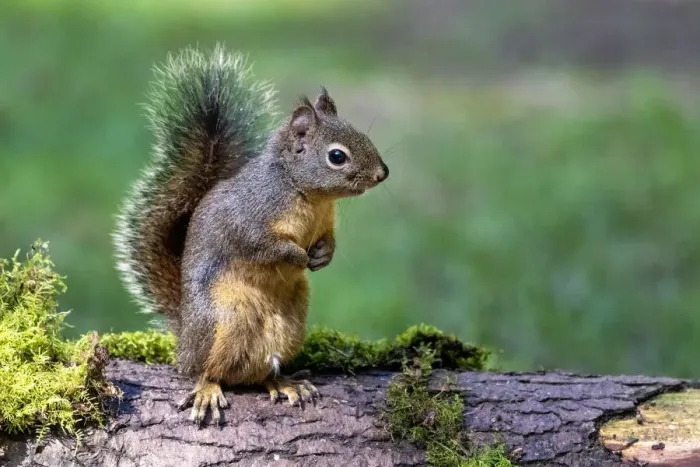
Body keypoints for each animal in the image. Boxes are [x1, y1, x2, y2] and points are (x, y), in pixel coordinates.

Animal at [113, 45, 388, 425]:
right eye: (337, 156)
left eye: (363, 135)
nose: (382, 173)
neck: (306, 193)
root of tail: (183, 342)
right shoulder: (249, 221)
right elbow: (265, 247)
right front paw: (297, 255)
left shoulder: (325, 222)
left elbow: (329, 240)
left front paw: (323, 255)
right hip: (224, 320)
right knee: (208, 370)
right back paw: (207, 389)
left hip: (289, 327)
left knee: (259, 372)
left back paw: (284, 382)